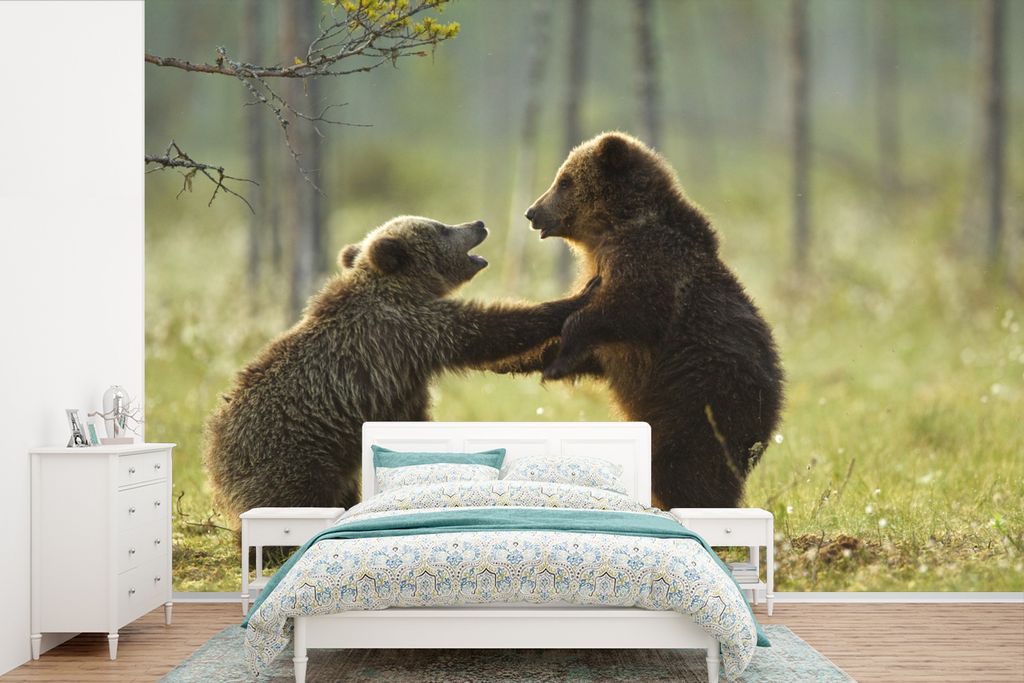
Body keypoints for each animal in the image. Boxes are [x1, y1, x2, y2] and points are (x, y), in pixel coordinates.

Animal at [204, 215, 597, 523]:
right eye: (440, 228)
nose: (478, 223)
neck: (403, 286)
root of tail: (212, 458)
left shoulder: (406, 371)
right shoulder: (407, 329)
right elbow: (487, 331)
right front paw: (576, 296)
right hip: (294, 456)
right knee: (299, 501)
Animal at [504, 132, 784, 509]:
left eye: (564, 180)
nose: (532, 212)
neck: (612, 229)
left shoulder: (647, 267)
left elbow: (620, 313)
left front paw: (556, 364)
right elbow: (595, 351)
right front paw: (524, 359)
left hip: (699, 402)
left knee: (684, 469)